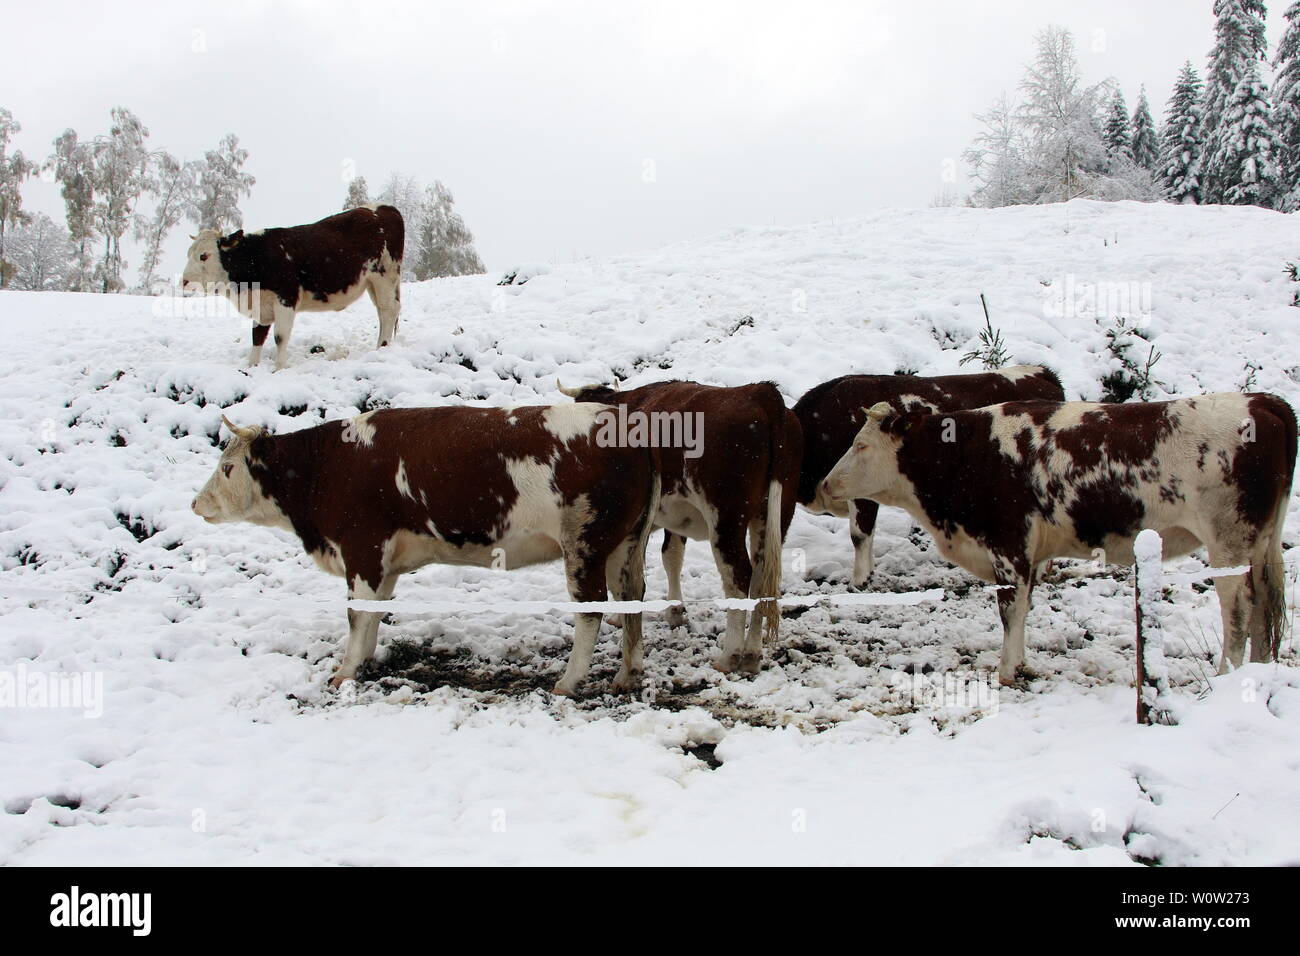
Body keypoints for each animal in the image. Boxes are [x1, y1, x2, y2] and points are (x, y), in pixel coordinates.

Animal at [179, 205, 400, 369]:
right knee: (384, 313)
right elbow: (257, 336)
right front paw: (251, 366)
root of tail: (383, 208)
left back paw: (382, 347)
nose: (184, 281)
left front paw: (279, 368)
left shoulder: (285, 298)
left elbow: (280, 336)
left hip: (384, 277)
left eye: (204, 255)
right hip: (373, 283)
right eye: (188, 253)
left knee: (388, 311)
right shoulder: (260, 303)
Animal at [191, 403, 660, 697]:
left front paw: (344, 672)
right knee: (631, 598)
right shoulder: (385, 561)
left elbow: (356, 613)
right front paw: (364, 662)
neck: (326, 467)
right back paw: (628, 673)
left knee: (591, 608)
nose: (196, 504)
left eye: (227, 467)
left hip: (584, 543)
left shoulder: (361, 547)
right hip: (623, 544)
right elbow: (372, 614)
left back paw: (569, 681)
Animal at [553, 377, 795, 676]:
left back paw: (730, 655)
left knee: (738, 576)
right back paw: (751, 653)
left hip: (726, 519)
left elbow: (628, 573)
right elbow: (671, 557)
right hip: (775, 515)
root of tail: (760, 391)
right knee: (762, 578)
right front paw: (675, 610)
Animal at [826, 392, 1294, 686]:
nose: (827, 484)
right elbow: (1023, 608)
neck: (967, 454)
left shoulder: (1009, 545)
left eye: (862, 445)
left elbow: (1010, 610)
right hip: (1258, 544)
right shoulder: (1029, 551)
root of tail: (1261, 400)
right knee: (1262, 606)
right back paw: (1257, 671)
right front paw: (1019, 662)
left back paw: (1226, 675)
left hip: (1229, 541)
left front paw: (1007, 670)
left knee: (1238, 609)